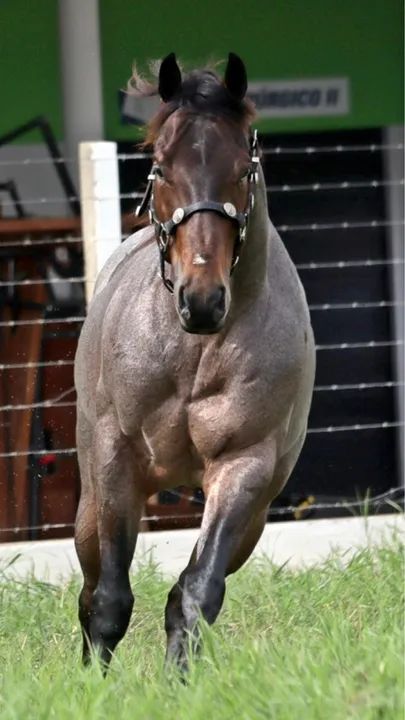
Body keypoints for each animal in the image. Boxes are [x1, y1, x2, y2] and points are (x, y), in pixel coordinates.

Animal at [74, 52, 316, 671]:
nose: (201, 299)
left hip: (254, 519)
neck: (193, 355)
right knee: (89, 588)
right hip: (91, 498)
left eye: (243, 169)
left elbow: (196, 593)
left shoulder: (244, 468)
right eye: (160, 166)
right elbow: (109, 598)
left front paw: (178, 678)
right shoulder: (115, 459)